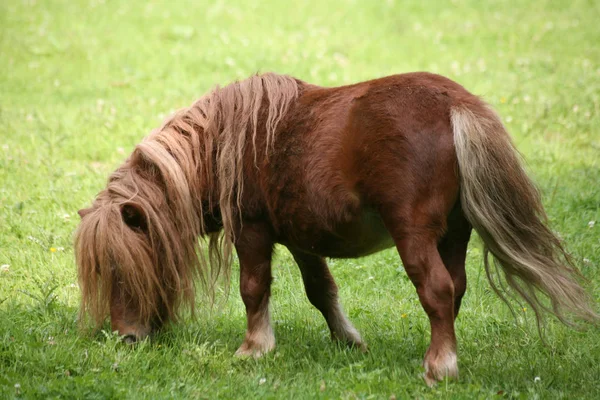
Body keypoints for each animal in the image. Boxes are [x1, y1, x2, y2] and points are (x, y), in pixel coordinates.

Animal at [74, 71, 596, 384]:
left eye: (120, 270)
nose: (126, 338)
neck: (223, 145)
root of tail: (454, 104)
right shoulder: (303, 240)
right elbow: (321, 291)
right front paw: (349, 341)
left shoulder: (253, 232)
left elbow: (253, 289)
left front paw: (254, 349)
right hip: (454, 234)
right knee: (456, 289)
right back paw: (441, 353)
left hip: (414, 236)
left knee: (438, 290)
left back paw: (439, 367)